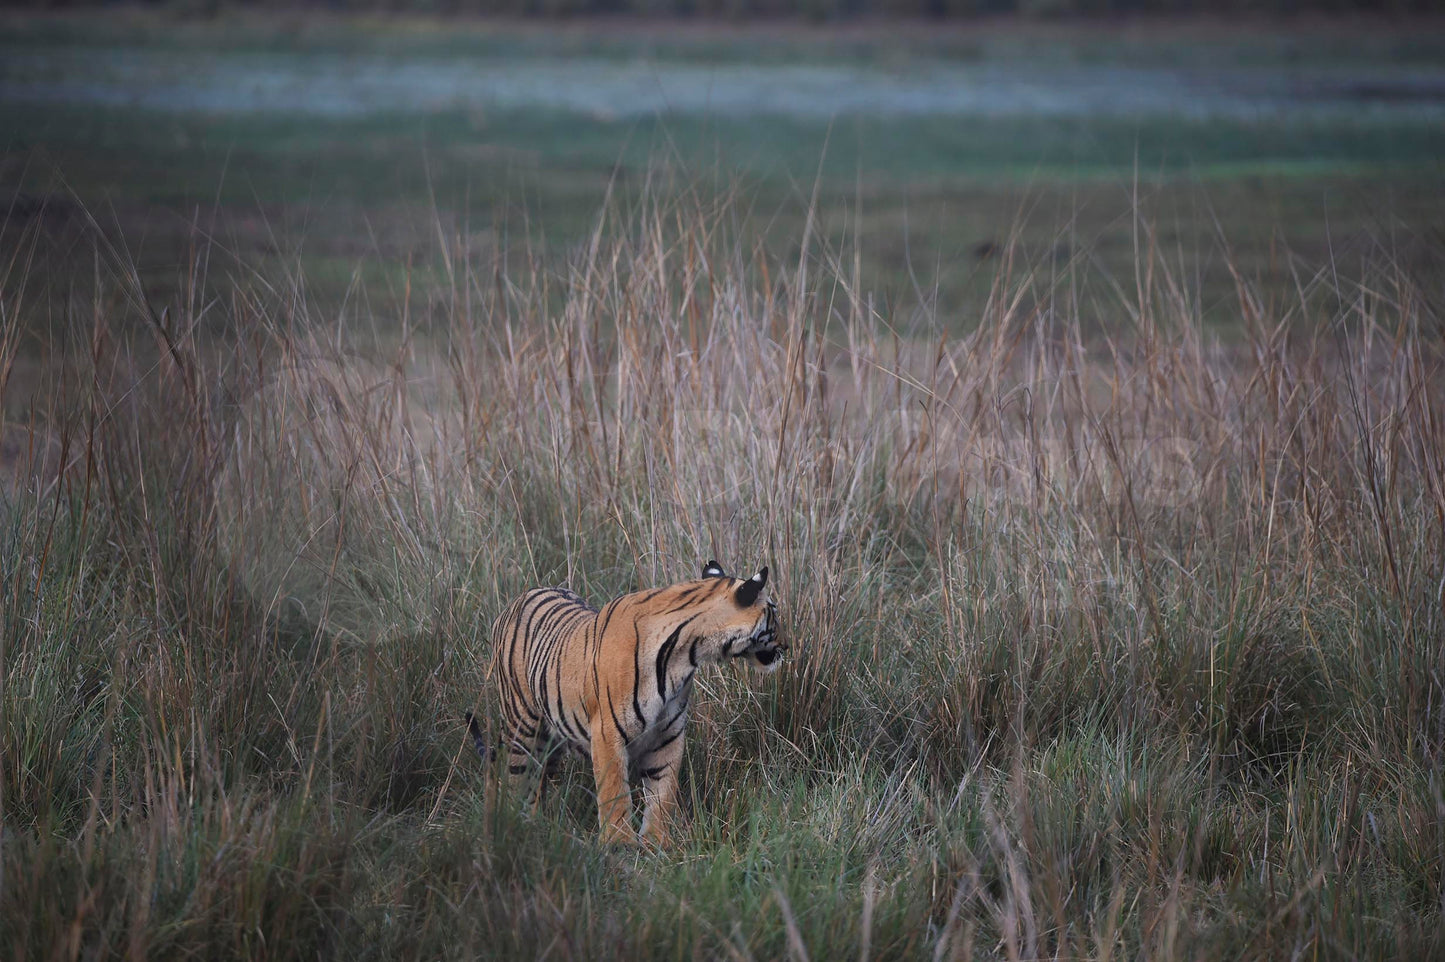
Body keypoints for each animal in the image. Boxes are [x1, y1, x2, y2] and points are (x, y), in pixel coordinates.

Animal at [473, 557, 786, 843]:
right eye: (774, 612)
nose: (787, 644)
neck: (685, 654)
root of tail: (515, 601)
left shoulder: (668, 734)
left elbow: (663, 793)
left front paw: (656, 844)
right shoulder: (607, 733)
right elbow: (615, 794)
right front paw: (618, 845)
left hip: (553, 737)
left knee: (539, 780)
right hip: (522, 726)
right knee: (516, 778)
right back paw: (518, 827)